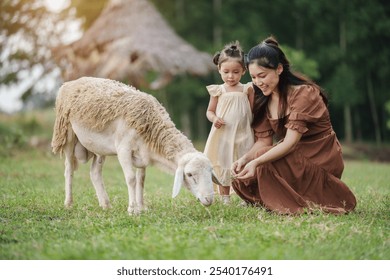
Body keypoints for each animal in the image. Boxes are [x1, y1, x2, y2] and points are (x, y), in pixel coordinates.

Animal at [51, 76, 219, 214]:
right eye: (189, 174)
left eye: (211, 171)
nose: (209, 199)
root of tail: (70, 83)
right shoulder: (124, 149)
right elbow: (131, 178)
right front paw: (132, 209)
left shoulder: (143, 153)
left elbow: (141, 180)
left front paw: (141, 206)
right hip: (67, 133)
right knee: (69, 169)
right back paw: (69, 203)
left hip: (99, 147)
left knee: (95, 173)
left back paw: (105, 204)